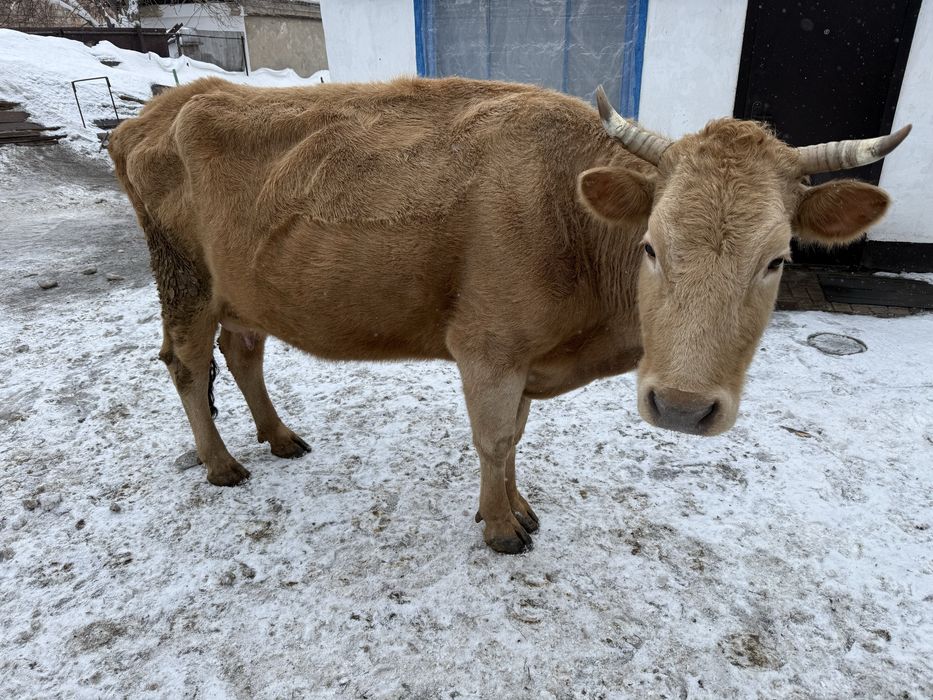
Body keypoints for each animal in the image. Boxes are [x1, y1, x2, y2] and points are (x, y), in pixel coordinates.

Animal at [108, 76, 910, 553]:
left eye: (776, 260)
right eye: (650, 246)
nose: (682, 407)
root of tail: (162, 106)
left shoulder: (524, 359)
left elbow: (517, 438)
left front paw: (516, 507)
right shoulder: (487, 348)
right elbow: (493, 440)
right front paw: (499, 528)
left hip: (242, 288)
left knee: (243, 353)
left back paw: (278, 436)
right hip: (184, 280)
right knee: (186, 364)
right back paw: (221, 463)